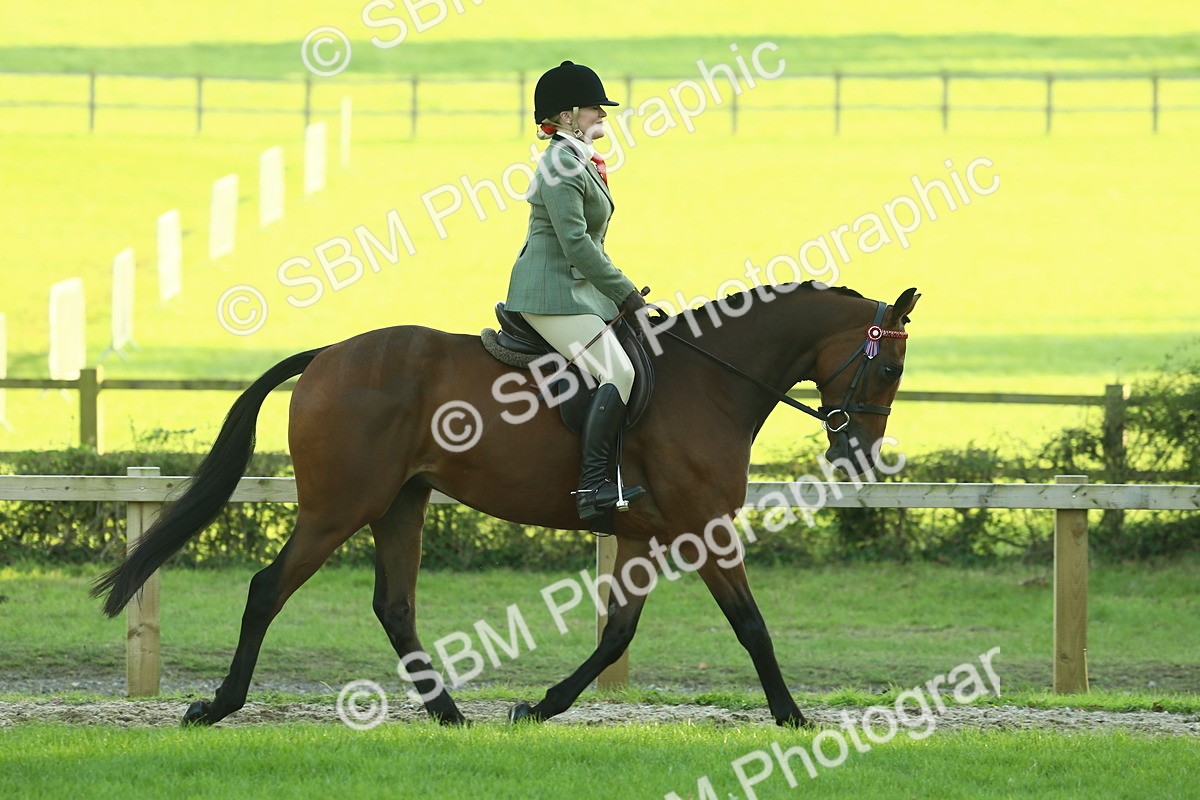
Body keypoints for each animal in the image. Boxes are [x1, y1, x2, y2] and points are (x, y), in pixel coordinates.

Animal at [93, 281, 920, 728]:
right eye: (889, 368)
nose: (860, 457)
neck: (712, 379)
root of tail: (328, 354)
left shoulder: (649, 533)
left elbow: (617, 635)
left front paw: (541, 706)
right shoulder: (703, 528)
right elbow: (751, 626)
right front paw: (794, 716)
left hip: (402, 502)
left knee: (394, 605)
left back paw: (451, 714)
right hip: (340, 506)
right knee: (269, 589)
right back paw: (218, 706)